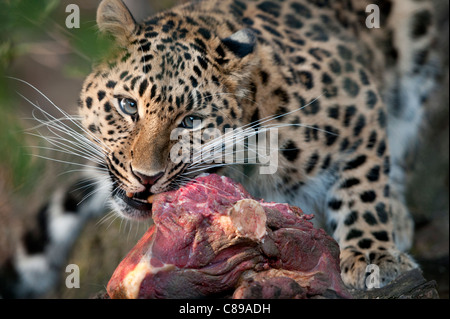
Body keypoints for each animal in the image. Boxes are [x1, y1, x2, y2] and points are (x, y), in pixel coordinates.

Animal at [3, 0, 440, 298]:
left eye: (191, 122)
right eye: (127, 106)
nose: (146, 178)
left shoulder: (357, 101)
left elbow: (365, 181)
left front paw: (372, 255)